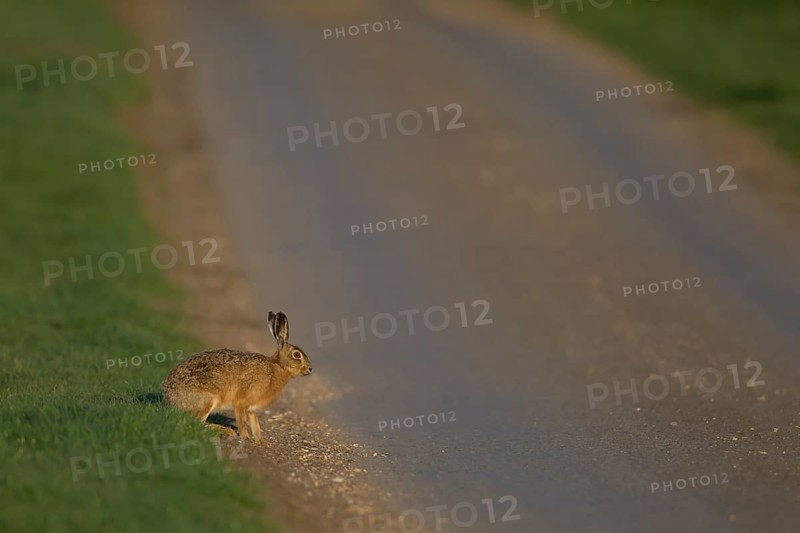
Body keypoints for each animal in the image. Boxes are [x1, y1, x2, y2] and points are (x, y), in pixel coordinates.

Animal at [162, 311, 312, 442]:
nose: (310, 369)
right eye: (297, 355)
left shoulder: (252, 409)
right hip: (209, 400)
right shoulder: (241, 402)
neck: (277, 367)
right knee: (196, 422)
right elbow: (242, 422)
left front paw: (261, 441)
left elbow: (255, 424)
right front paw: (246, 438)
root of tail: (171, 398)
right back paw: (226, 431)